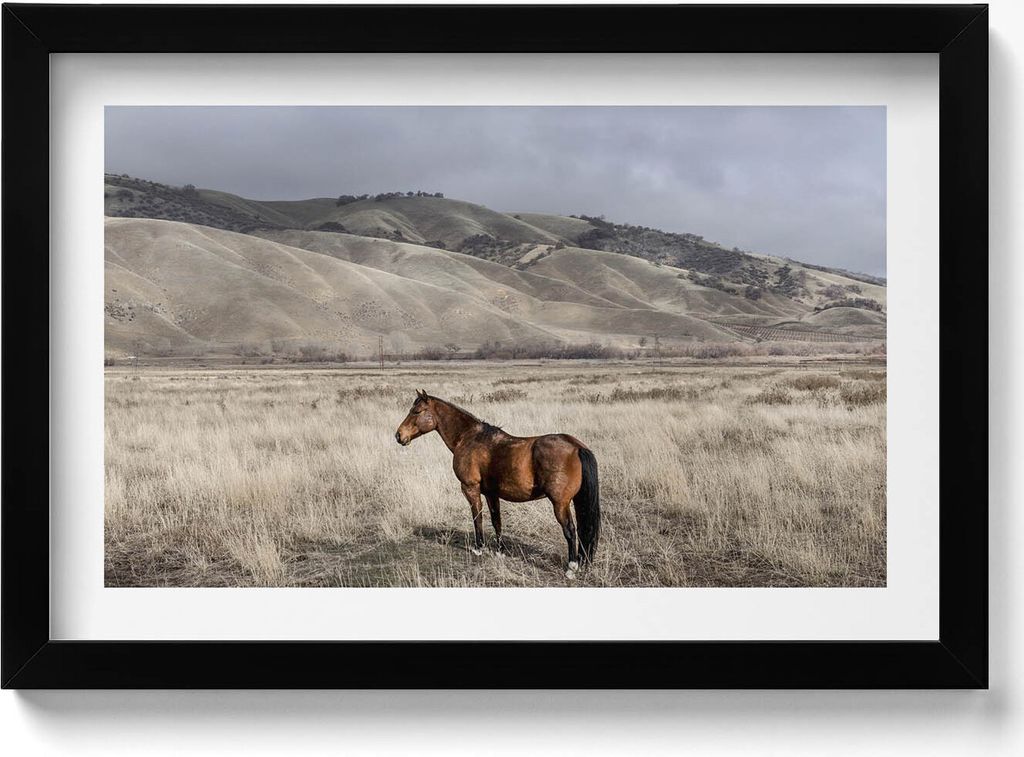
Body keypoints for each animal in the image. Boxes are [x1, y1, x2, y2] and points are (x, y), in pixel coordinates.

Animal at [395, 390, 600, 577]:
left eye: (416, 411)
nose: (398, 436)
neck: (468, 438)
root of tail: (577, 447)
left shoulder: (470, 488)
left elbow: (477, 517)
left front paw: (479, 548)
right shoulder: (491, 493)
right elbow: (496, 521)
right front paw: (499, 550)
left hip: (560, 503)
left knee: (570, 530)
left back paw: (571, 567)